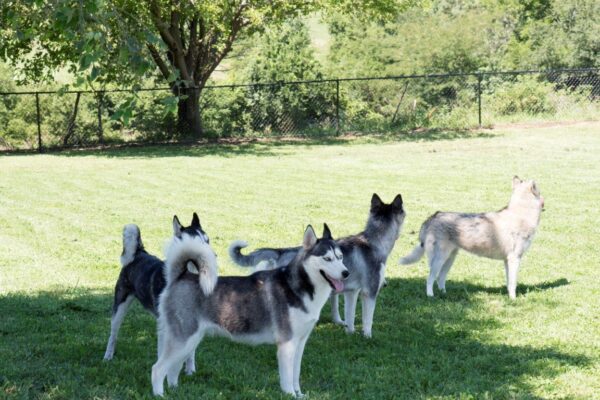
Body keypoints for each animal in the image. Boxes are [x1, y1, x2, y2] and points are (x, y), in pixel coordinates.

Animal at [105, 214, 211, 376]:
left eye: (208, 241)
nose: (214, 256)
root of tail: (140, 253)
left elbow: (190, 350)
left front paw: (190, 371)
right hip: (120, 305)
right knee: (113, 333)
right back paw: (108, 355)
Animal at [150, 225, 346, 396]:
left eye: (341, 257)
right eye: (327, 259)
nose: (346, 273)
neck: (299, 287)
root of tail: (181, 276)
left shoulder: (300, 343)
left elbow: (295, 375)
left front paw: (299, 395)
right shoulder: (286, 344)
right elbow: (287, 378)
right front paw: (290, 394)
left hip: (189, 341)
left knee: (172, 369)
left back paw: (175, 390)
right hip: (184, 339)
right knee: (157, 369)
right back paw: (160, 394)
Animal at [227, 195, 406, 338]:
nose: (386, 284)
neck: (374, 242)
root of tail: (280, 252)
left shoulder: (351, 292)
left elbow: (349, 316)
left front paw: (349, 332)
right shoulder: (370, 292)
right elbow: (368, 320)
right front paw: (367, 336)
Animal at [398, 177, 544, 298]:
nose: (544, 202)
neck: (521, 214)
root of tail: (433, 217)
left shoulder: (507, 260)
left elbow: (509, 283)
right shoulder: (514, 259)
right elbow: (513, 284)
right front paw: (513, 300)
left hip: (450, 259)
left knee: (440, 278)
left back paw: (444, 294)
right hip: (440, 259)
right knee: (430, 278)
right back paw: (430, 296)